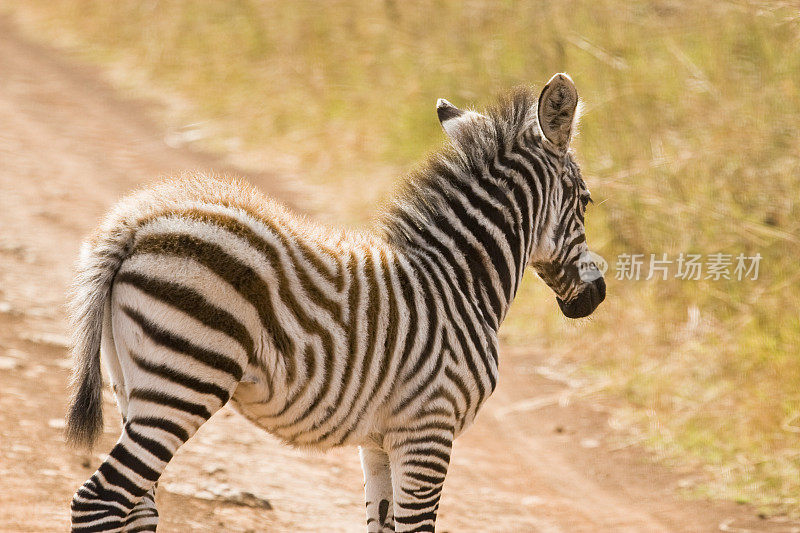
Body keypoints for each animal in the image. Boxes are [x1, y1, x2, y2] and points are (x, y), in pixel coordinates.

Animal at [67, 72, 608, 528]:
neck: (460, 282)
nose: (597, 295)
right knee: (100, 499)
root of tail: (136, 223)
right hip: (185, 375)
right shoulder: (429, 431)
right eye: (586, 202)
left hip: (133, 382)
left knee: (136, 506)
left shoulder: (381, 441)